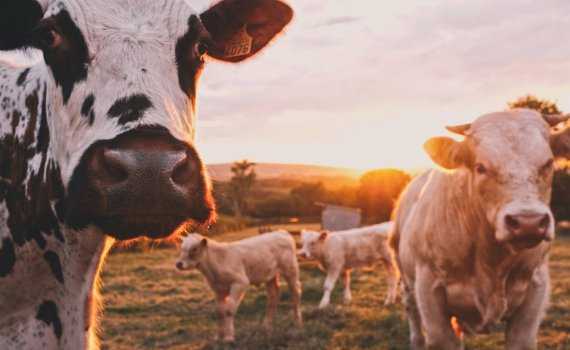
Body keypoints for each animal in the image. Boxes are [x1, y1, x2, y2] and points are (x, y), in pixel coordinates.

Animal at [388, 110, 568, 350]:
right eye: (481, 167)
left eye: (548, 163)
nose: (528, 222)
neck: (491, 260)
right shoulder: (428, 291)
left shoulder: (535, 289)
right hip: (407, 281)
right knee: (414, 319)